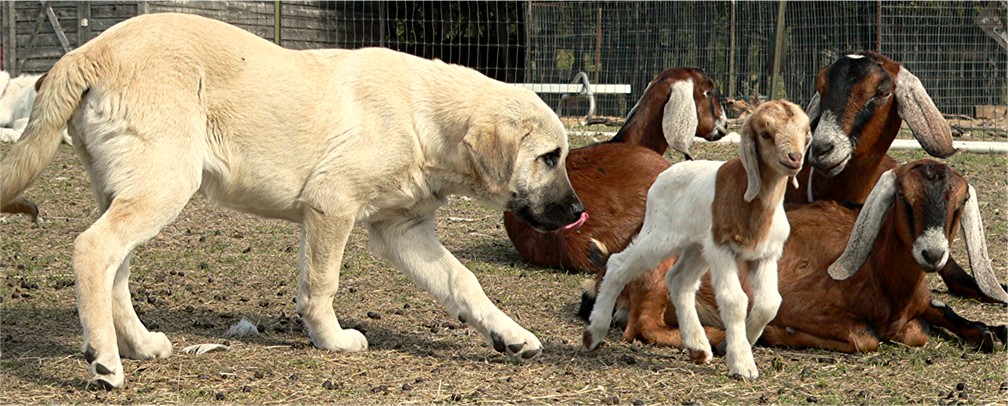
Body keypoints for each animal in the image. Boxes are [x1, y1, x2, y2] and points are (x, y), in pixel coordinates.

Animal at [0, 14, 588, 390]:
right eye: (549, 157)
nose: (579, 213)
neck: (423, 116)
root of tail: (86, 51)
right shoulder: (332, 207)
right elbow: (321, 285)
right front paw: (332, 339)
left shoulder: (404, 230)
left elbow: (463, 281)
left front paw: (510, 336)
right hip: (165, 182)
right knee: (93, 249)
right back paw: (104, 360)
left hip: (133, 188)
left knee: (114, 268)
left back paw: (140, 345)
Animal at [584, 160, 1008, 354]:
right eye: (905, 198)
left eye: (957, 206)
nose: (932, 254)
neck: (879, 276)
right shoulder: (804, 305)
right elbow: (867, 337)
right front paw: (779, 332)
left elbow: (938, 315)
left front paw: (990, 332)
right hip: (658, 273)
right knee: (643, 325)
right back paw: (718, 338)